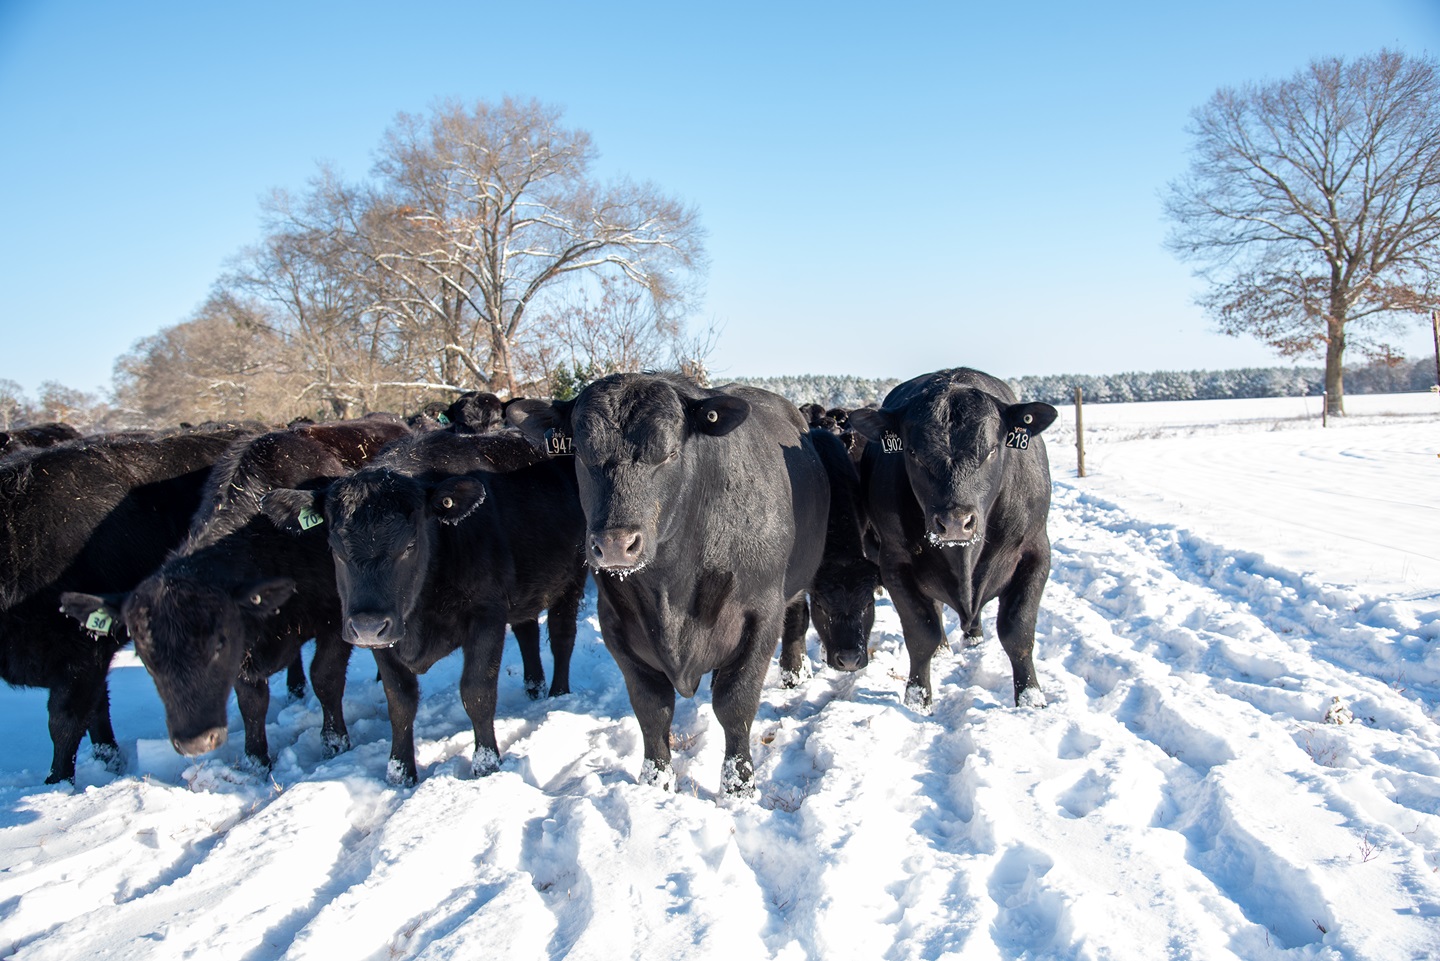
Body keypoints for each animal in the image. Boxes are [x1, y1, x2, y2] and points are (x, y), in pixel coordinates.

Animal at [60, 418, 411, 769]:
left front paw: (334, 744)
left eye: (218, 644)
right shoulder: (247, 645)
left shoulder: (335, 621)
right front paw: (256, 761)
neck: (271, 537)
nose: (194, 741)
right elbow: (252, 702)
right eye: (145, 658)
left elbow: (325, 679)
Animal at [263, 429, 588, 786]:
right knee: (527, 632)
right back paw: (534, 688)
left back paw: (557, 694)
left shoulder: (486, 615)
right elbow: (400, 702)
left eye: (409, 545)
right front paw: (400, 771)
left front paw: (486, 764)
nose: (366, 625)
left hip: (573, 578)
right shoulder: (387, 638)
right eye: (334, 547)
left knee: (562, 637)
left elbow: (477, 692)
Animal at [507, 373, 829, 797]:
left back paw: (794, 675)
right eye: (582, 454)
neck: (670, 590)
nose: (615, 543)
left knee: (796, 621)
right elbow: (652, 708)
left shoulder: (761, 614)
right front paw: (655, 781)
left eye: (669, 454)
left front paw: (739, 785)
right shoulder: (615, 624)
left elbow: (735, 703)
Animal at [846, 367, 1056, 712]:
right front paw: (917, 698)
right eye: (913, 453)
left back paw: (974, 634)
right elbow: (922, 633)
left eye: (992, 450)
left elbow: (1018, 631)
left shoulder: (1035, 551)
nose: (956, 522)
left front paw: (1031, 697)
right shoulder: (895, 564)